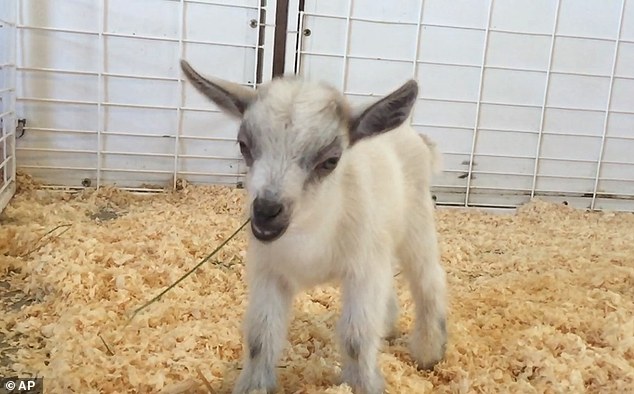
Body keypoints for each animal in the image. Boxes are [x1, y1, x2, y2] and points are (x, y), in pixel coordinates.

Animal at [180, 59, 446, 394]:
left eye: (330, 160)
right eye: (244, 146)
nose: (266, 211)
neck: (311, 232)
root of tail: (414, 136)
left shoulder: (362, 269)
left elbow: (356, 337)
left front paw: (363, 385)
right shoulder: (269, 271)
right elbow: (260, 337)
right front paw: (253, 386)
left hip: (416, 222)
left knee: (429, 280)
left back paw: (429, 351)